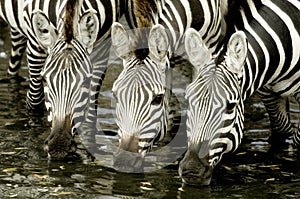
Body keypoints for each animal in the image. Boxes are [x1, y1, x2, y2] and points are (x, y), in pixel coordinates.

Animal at [0, 0, 123, 159]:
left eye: (86, 81)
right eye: (45, 79)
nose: (59, 145)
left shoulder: (103, 48)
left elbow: (91, 111)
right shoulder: (35, 43)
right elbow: (35, 102)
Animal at [178, 0, 300, 185]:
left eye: (230, 106)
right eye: (189, 101)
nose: (192, 170)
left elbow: (298, 140)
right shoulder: (267, 91)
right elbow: (281, 132)